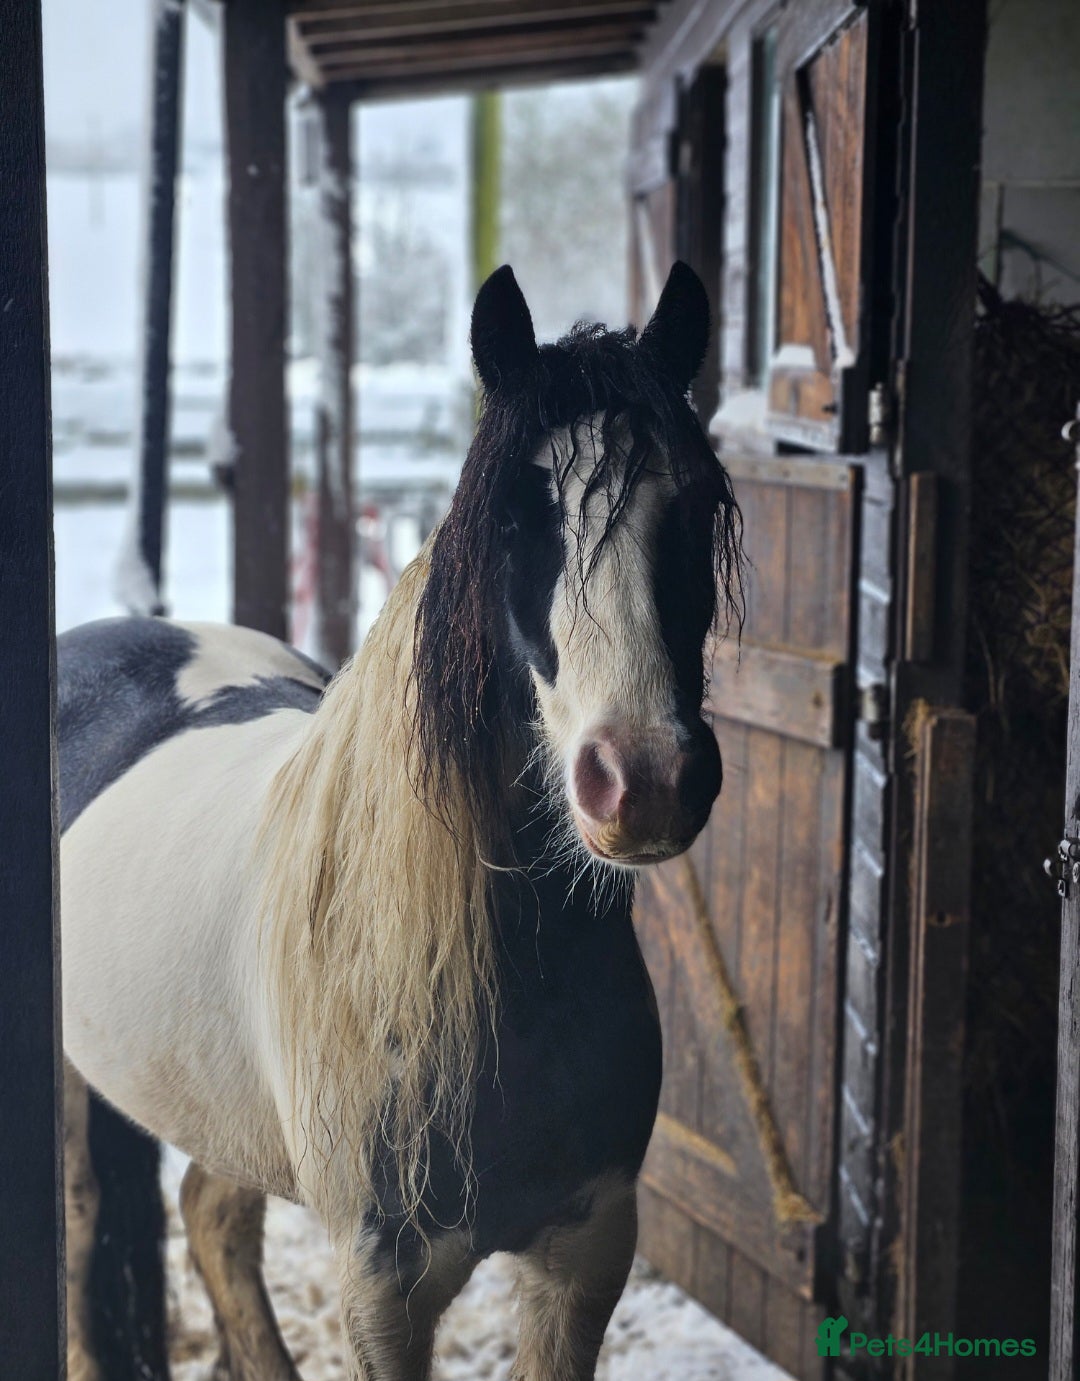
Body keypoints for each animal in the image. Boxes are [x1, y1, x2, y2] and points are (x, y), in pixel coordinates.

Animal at [59, 260, 742, 1381]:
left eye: (688, 503)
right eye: (510, 521)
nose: (642, 778)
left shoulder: (587, 1252)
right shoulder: (388, 1284)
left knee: (213, 1214)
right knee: (81, 1242)